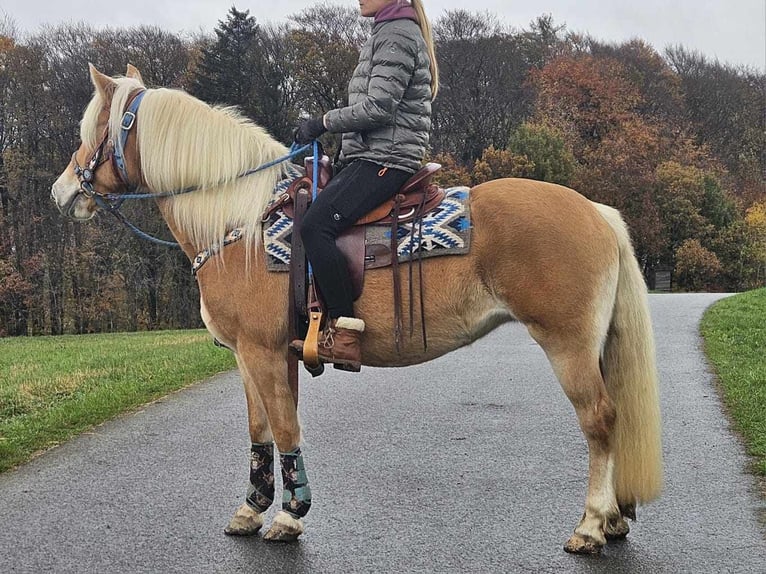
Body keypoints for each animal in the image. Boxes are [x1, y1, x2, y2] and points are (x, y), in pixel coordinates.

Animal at [51, 65, 664, 556]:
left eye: (93, 130)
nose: (62, 192)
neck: (242, 222)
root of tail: (596, 210)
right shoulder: (260, 356)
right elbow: (261, 430)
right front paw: (252, 509)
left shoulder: (262, 353)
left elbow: (286, 428)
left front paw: (289, 517)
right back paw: (614, 520)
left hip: (568, 346)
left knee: (599, 420)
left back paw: (591, 526)